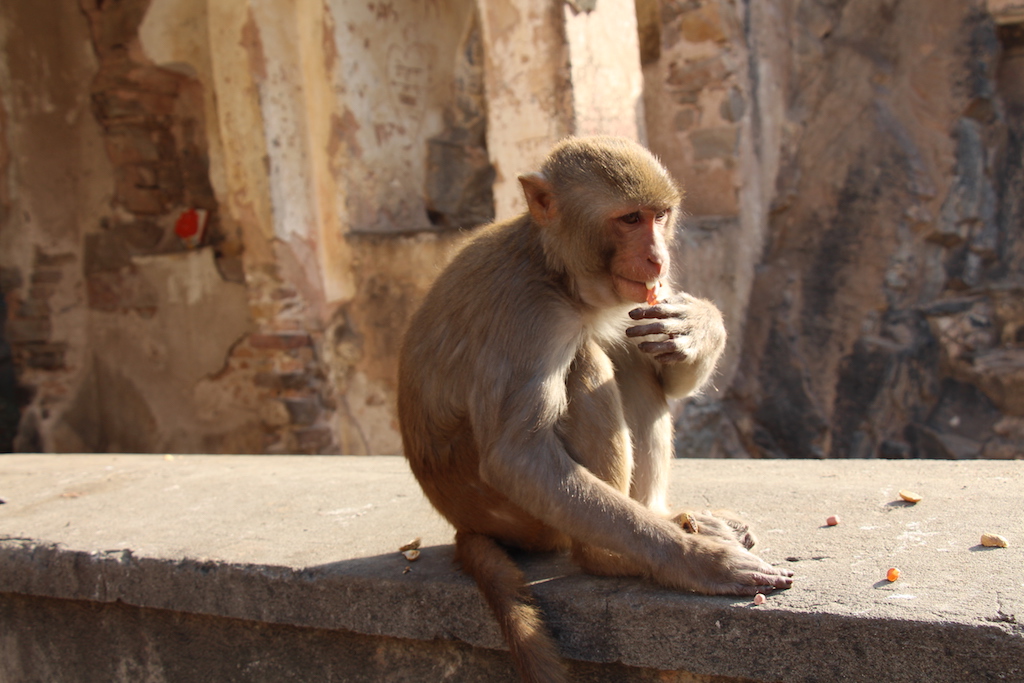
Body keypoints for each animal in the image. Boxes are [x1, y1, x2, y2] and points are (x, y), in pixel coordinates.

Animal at [397, 136, 793, 682]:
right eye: (629, 219)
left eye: (660, 216)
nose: (658, 259)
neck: (555, 269)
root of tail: (466, 523)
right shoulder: (530, 315)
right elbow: (517, 457)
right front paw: (700, 562)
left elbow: (663, 367)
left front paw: (696, 325)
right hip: (526, 521)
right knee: (586, 362)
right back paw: (607, 555)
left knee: (625, 357)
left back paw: (666, 516)